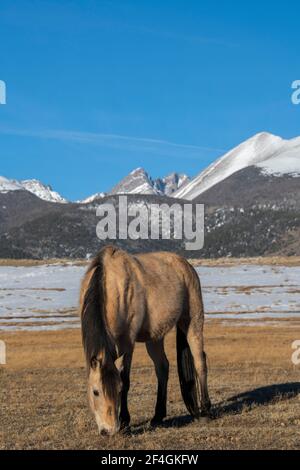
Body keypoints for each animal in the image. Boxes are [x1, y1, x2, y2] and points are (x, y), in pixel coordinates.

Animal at [79, 246, 211, 436]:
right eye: (95, 392)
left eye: (118, 390)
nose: (109, 430)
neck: (109, 283)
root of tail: (186, 265)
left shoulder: (128, 343)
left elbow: (126, 378)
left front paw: (125, 421)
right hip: (155, 338)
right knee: (162, 367)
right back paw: (158, 416)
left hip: (193, 322)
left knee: (200, 361)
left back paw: (205, 410)